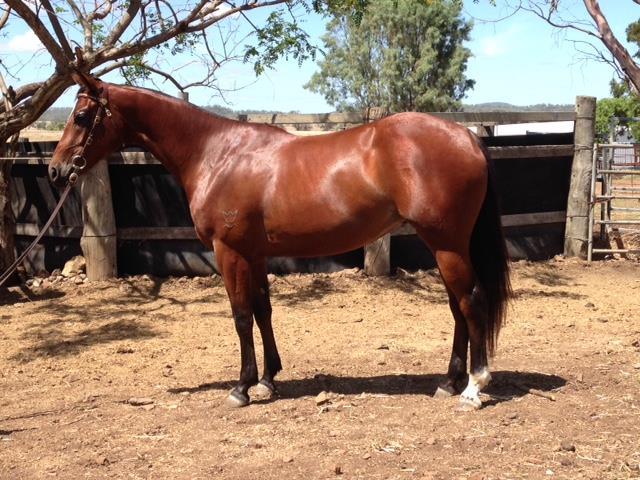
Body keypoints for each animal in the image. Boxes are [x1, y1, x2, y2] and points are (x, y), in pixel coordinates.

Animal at [49, 72, 511, 411]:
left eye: (82, 116)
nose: (55, 170)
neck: (217, 154)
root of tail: (467, 137)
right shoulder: (253, 253)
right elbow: (262, 311)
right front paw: (268, 379)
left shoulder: (229, 252)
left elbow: (239, 316)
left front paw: (241, 387)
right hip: (446, 246)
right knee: (457, 306)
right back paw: (449, 382)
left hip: (447, 243)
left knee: (471, 300)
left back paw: (473, 387)